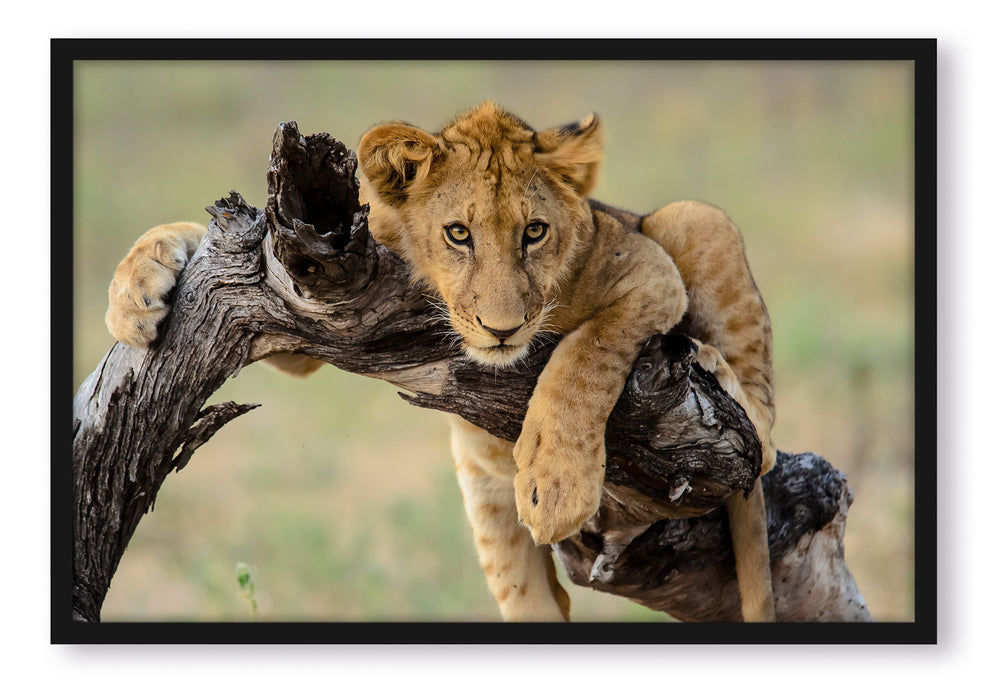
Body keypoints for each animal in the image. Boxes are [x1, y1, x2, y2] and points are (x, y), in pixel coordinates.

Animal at [105, 102, 777, 622]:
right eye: (458, 234)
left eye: (535, 232)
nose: (502, 329)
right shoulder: (315, 289)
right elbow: (209, 241)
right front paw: (134, 291)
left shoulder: (651, 275)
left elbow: (583, 357)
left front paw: (557, 483)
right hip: (492, 520)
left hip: (693, 219)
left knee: (763, 439)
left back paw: (714, 367)